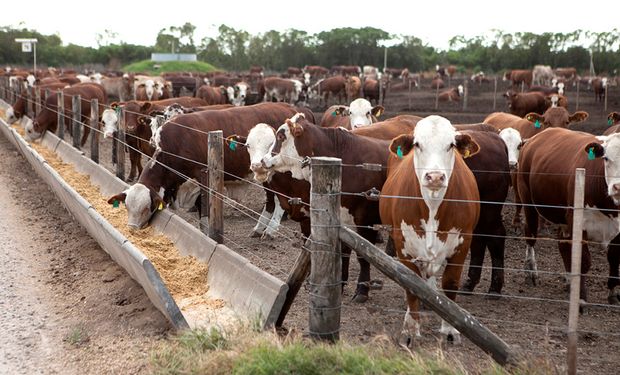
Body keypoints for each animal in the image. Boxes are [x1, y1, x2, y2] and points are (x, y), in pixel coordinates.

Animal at [380, 116, 482, 346]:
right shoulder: (403, 245)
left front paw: (450, 329)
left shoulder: (463, 243)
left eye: (451, 145)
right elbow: (411, 285)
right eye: (417, 144)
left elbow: (451, 283)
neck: (433, 206)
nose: (435, 177)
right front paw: (410, 329)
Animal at [516, 127, 620, 306]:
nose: (618, 187)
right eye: (606, 158)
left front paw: (612, 293)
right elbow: (583, 261)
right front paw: (581, 298)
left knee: (563, 245)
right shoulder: (578, 222)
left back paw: (569, 281)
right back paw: (531, 272)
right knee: (530, 235)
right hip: (528, 203)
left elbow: (614, 257)